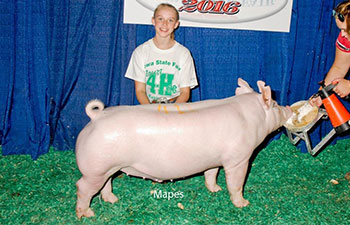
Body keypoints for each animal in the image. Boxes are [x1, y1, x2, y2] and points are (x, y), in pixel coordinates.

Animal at [75, 78, 292, 218]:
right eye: (274, 104)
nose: (288, 108)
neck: (250, 118)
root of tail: (96, 117)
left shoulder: (214, 159)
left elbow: (211, 174)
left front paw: (215, 189)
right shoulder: (239, 159)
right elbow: (236, 183)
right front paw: (243, 204)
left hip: (107, 167)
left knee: (106, 184)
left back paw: (113, 200)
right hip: (95, 169)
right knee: (82, 187)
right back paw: (87, 214)